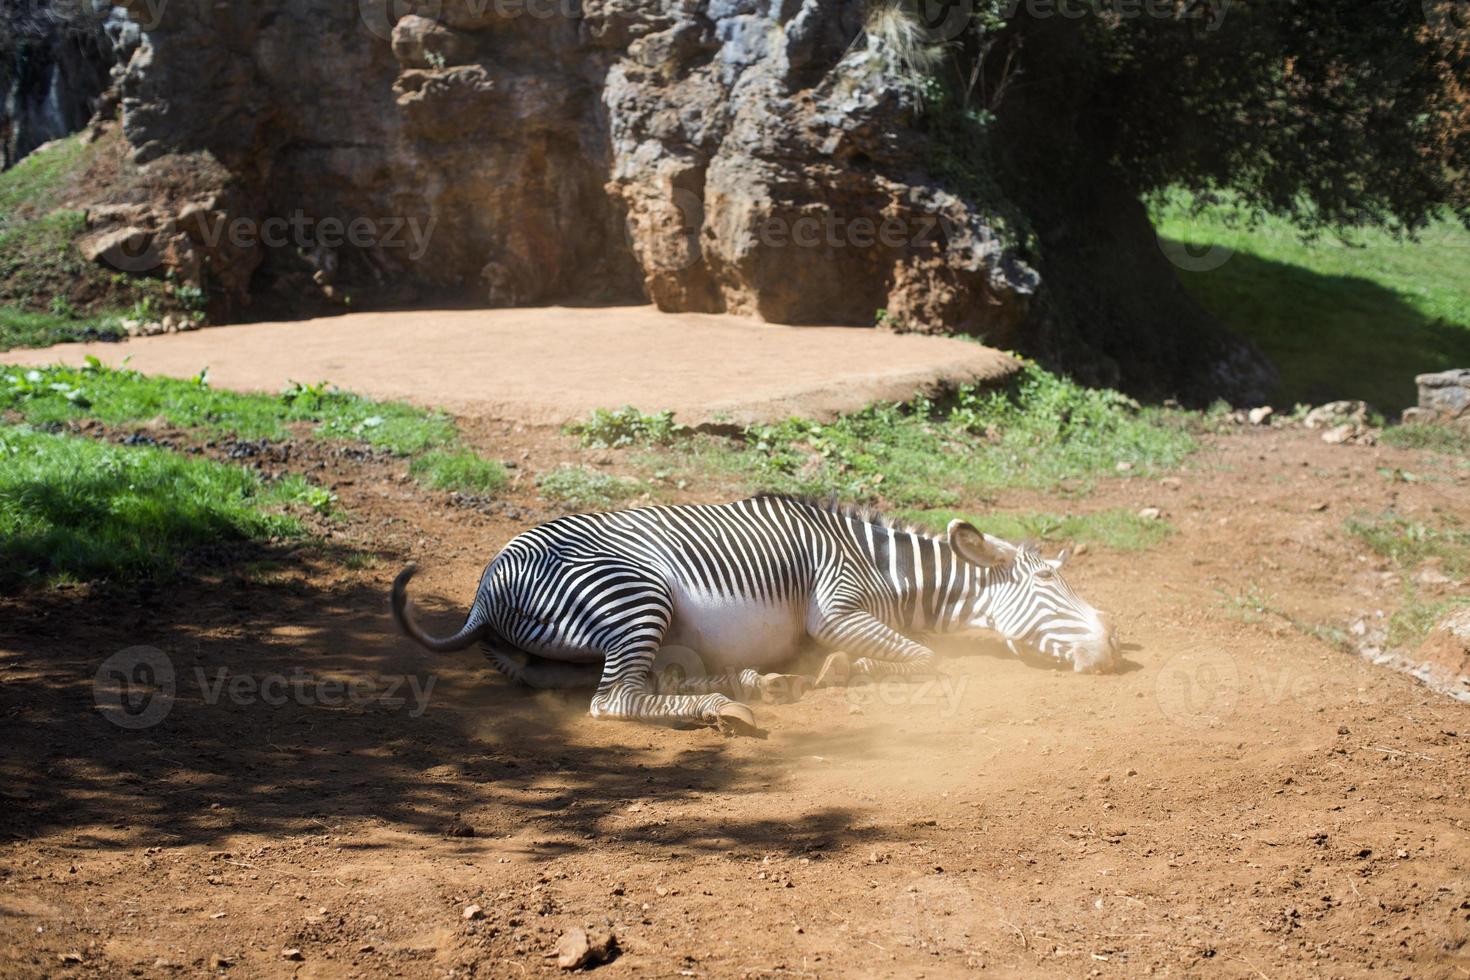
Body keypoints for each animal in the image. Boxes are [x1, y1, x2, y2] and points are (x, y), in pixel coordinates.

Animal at [391, 493, 1111, 731]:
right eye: (1049, 579)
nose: (1112, 646)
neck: (883, 566)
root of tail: (485, 593)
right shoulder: (836, 609)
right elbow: (926, 659)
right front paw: (853, 671)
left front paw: (834, 670)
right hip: (636, 596)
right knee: (614, 700)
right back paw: (723, 705)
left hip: (565, 648)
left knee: (613, 680)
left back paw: (750, 682)